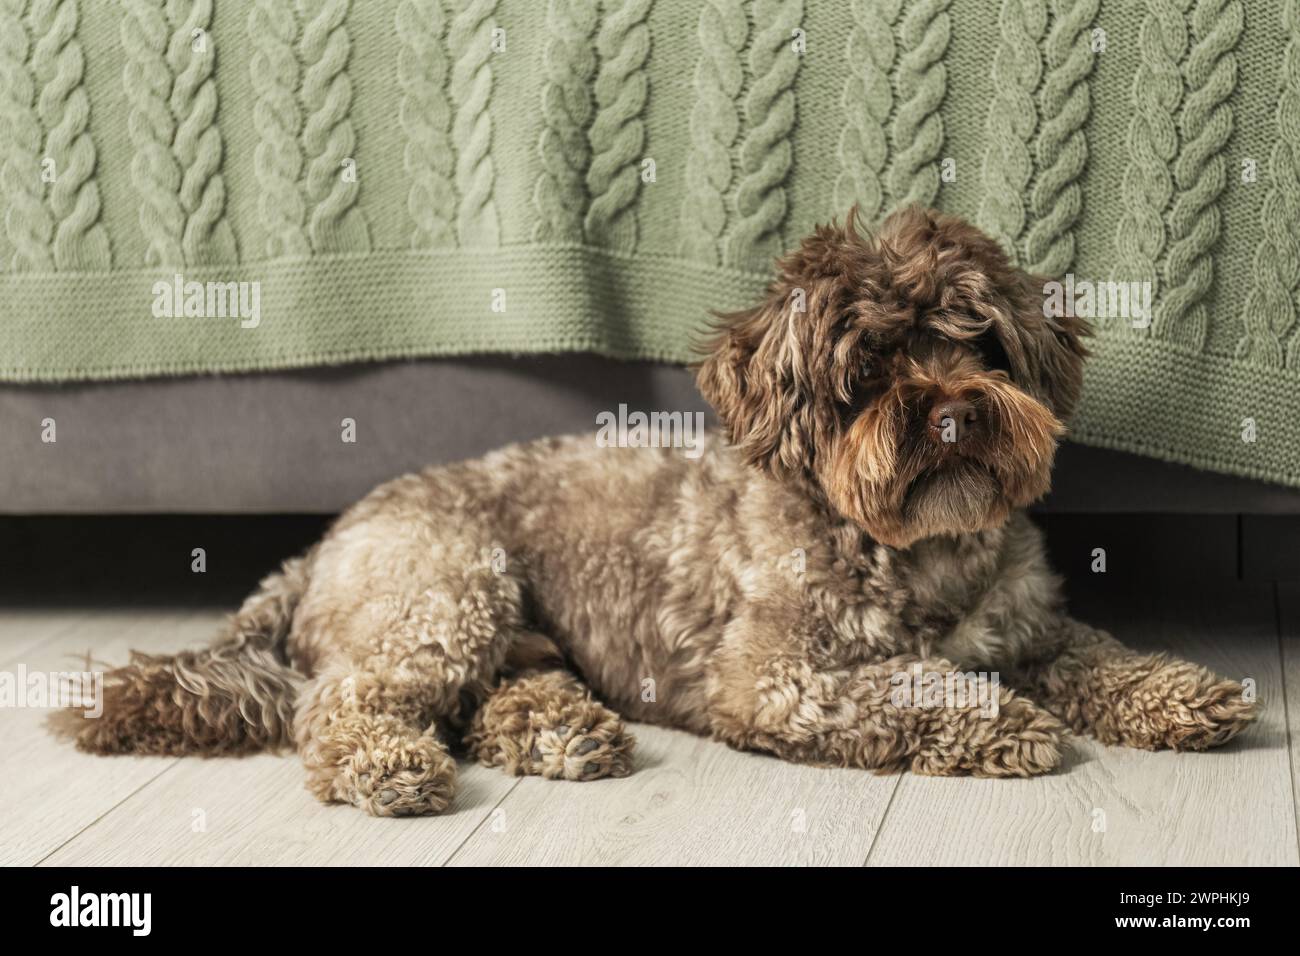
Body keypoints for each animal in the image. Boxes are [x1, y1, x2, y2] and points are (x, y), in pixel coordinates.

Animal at [61, 208, 1258, 816]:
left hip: (498, 623)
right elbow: (912, 685)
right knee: (345, 703)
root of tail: (324, 543)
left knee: (486, 693)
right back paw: (389, 767)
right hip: (445, 592)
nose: (957, 412)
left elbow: (1103, 653)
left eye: (980, 342)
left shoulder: (1034, 625)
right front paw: (1002, 720)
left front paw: (1188, 690)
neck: (919, 551)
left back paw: (564, 730)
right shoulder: (775, 678)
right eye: (867, 368)